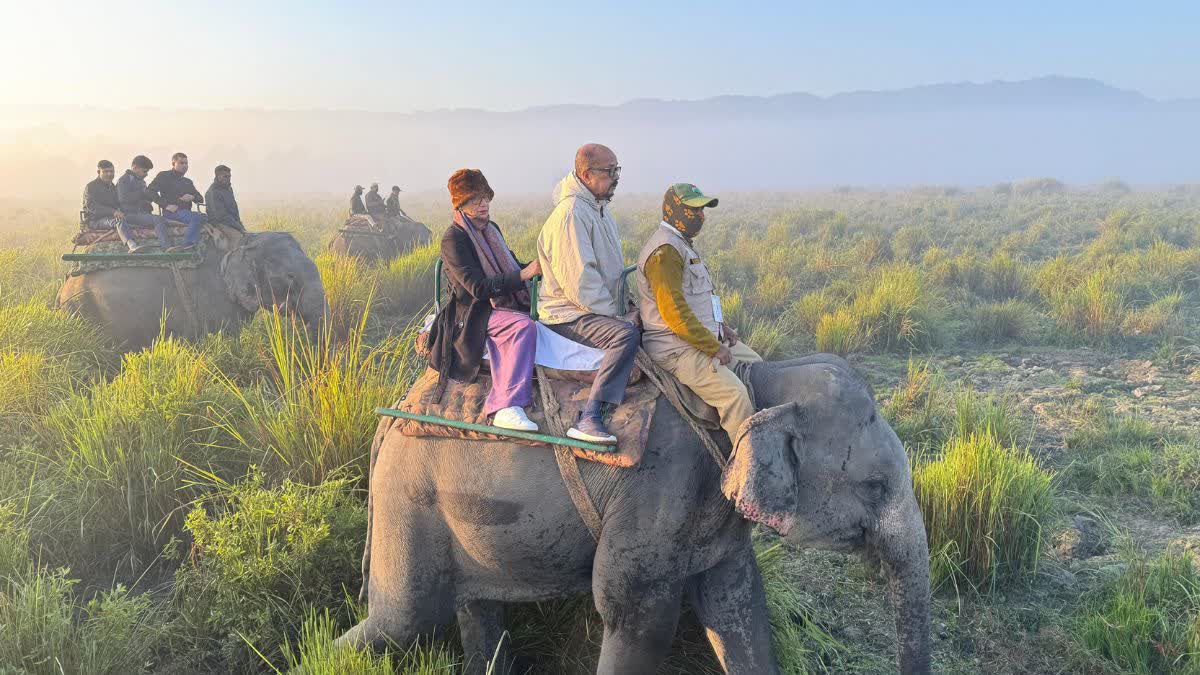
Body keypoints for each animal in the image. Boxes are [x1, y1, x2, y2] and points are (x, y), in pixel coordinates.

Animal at [333, 355, 931, 667]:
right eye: (875, 487)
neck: (754, 382)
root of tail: (395, 413)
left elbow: (735, 603)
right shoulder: (657, 489)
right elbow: (636, 615)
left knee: (474, 610)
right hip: (408, 500)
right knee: (402, 619)